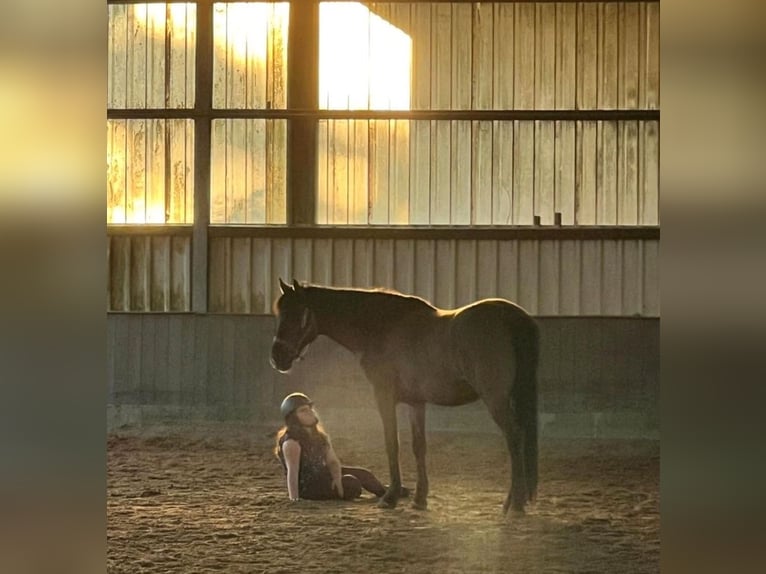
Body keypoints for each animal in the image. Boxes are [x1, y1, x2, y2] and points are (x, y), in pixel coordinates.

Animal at [270, 278, 539, 515]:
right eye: (280, 313)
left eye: (296, 313)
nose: (277, 357)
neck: (383, 327)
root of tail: (510, 315)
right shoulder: (415, 403)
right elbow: (418, 446)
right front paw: (419, 499)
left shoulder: (384, 396)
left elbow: (392, 443)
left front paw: (391, 497)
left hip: (496, 399)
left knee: (514, 438)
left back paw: (514, 505)